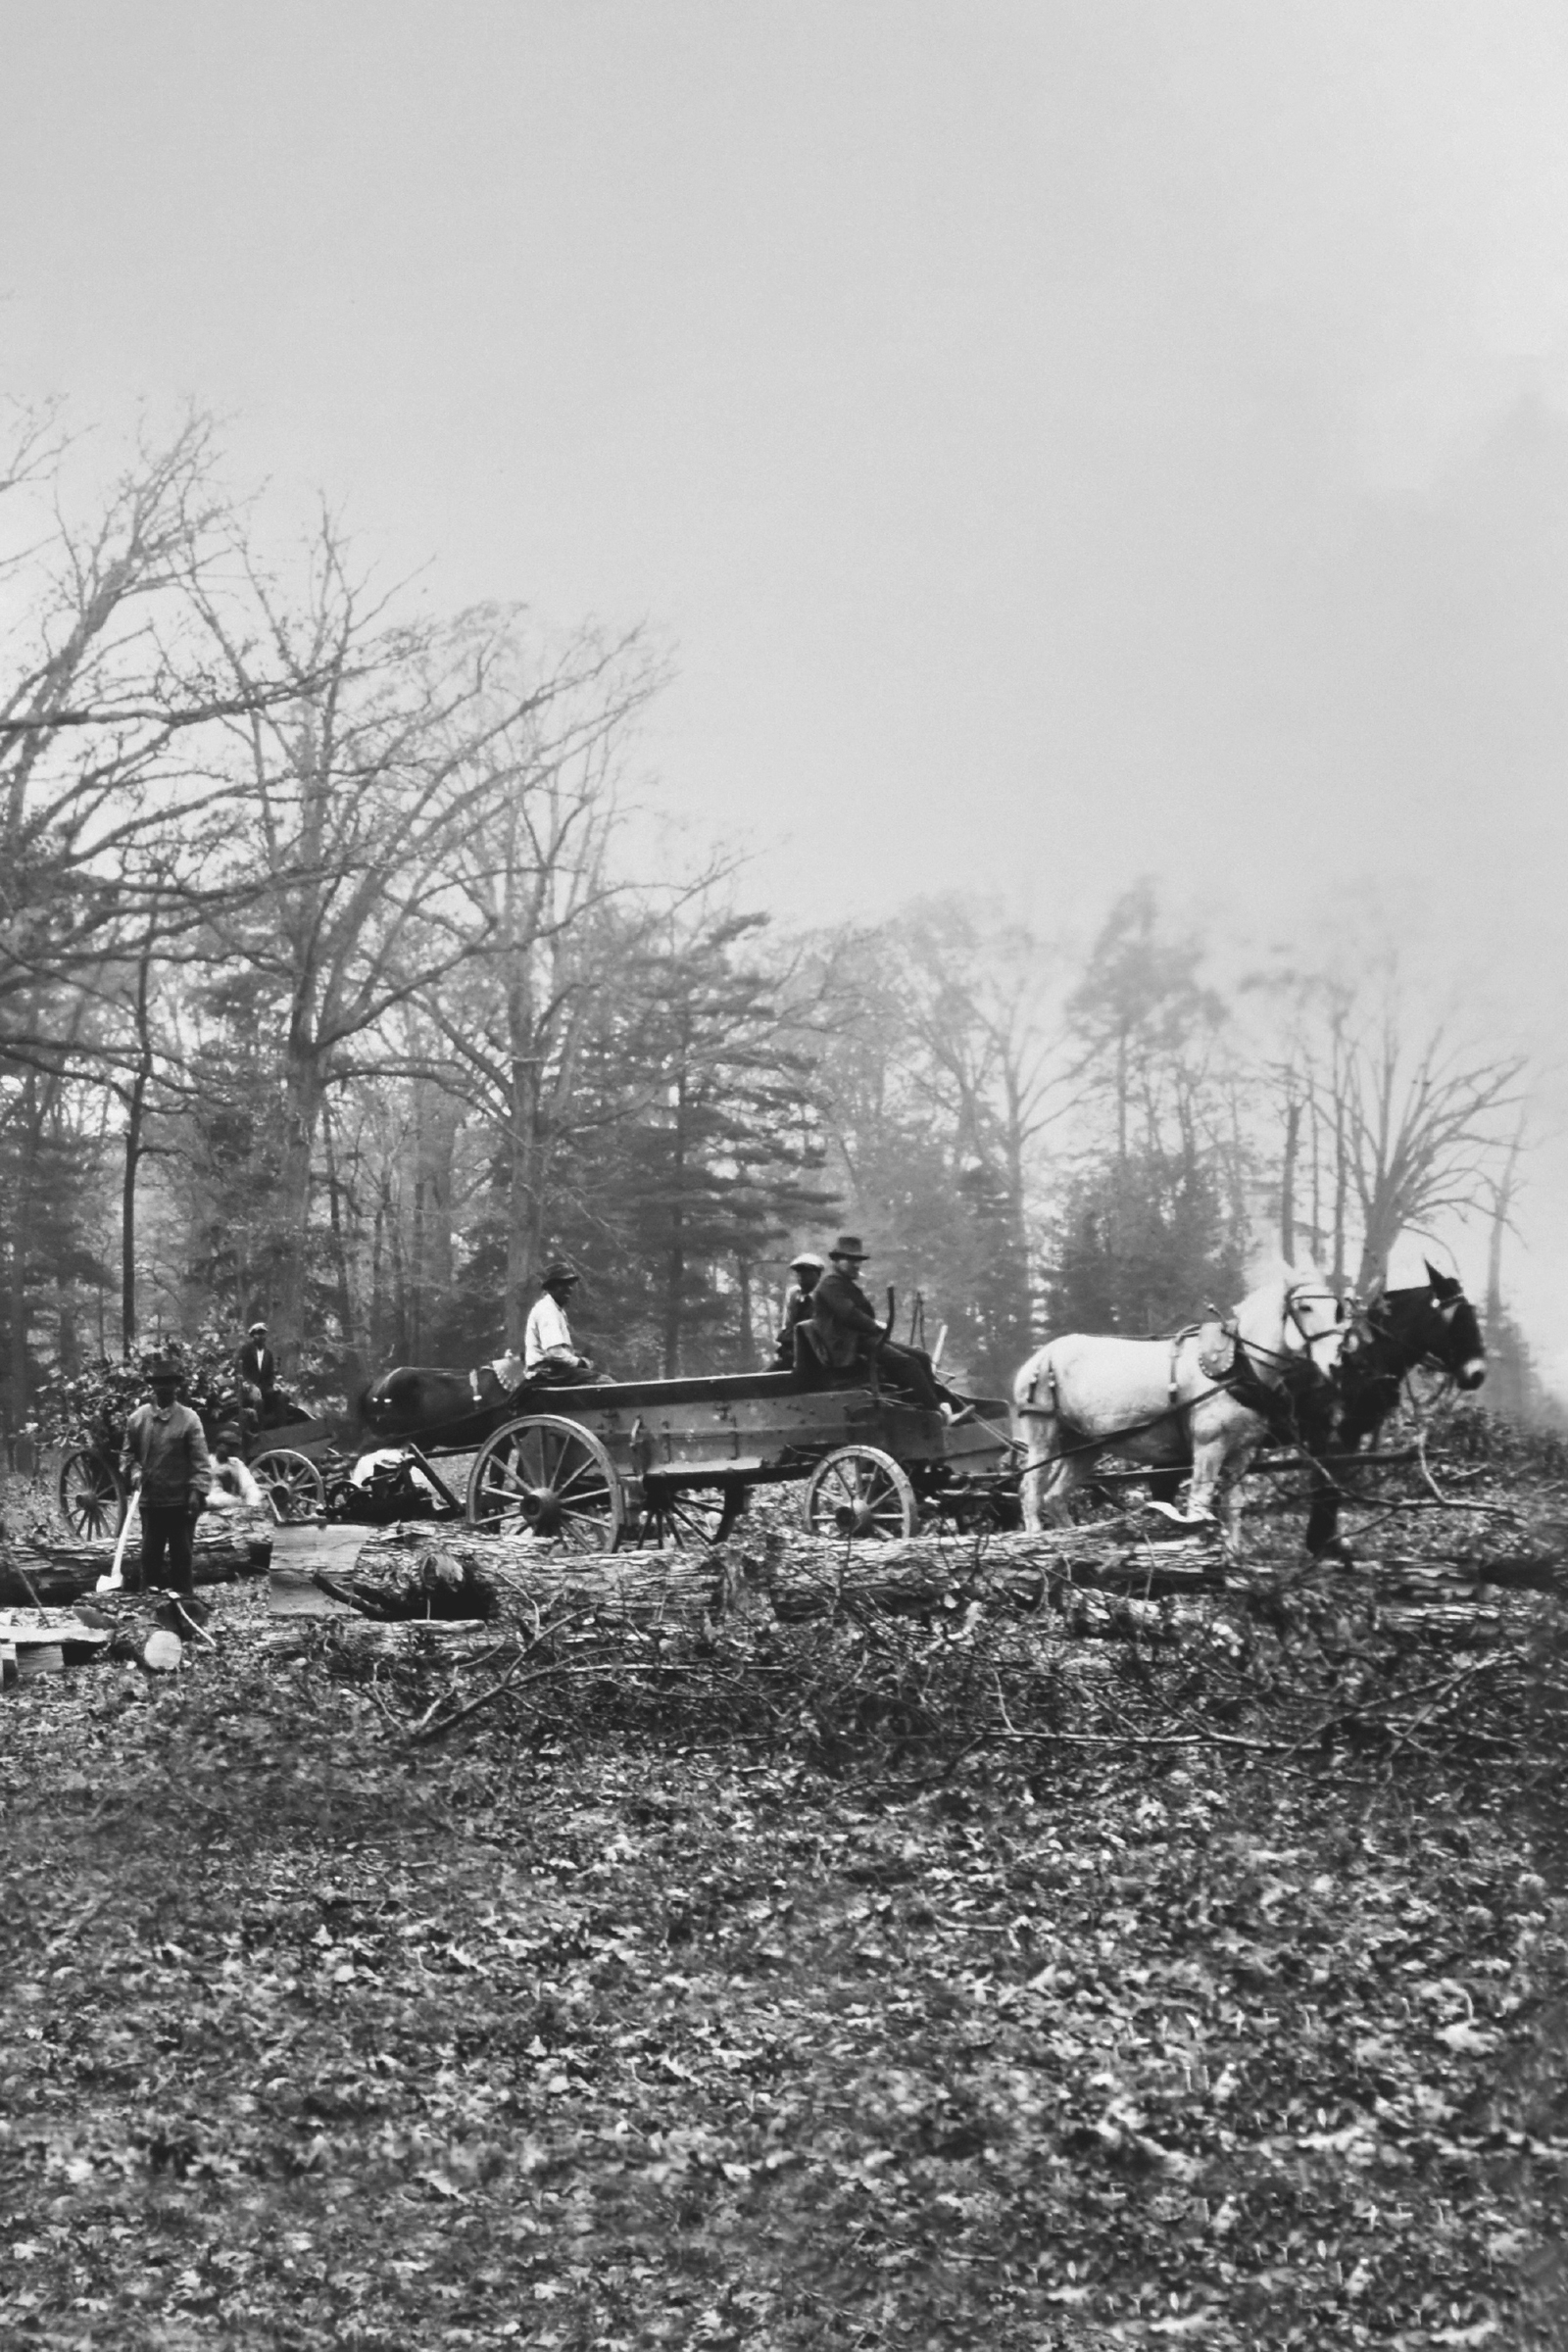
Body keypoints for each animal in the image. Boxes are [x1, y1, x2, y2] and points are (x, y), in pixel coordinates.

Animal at [1010, 1279, 1353, 1533]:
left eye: (1336, 1309)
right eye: (1305, 1307)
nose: (1337, 1364)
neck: (1238, 1366)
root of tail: (1041, 1356)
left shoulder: (1241, 1454)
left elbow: (1232, 1512)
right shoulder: (1208, 1447)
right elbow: (1199, 1505)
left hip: (1084, 1446)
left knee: (1055, 1496)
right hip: (1042, 1435)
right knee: (1030, 1490)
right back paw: (1035, 1538)